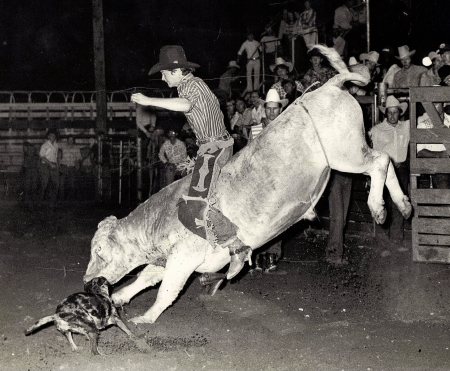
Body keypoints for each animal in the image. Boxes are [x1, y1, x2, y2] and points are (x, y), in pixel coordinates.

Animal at [84, 45, 412, 326]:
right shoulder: (168, 257)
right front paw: (118, 298)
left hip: (345, 154)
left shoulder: (184, 256)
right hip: (351, 152)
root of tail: (331, 84)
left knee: (380, 162)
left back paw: (379, 208)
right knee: (386, 163)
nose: (87, 282)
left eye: (99, 251)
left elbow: (167, 288)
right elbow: (145, 277)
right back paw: (403, 206)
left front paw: (146, 317)